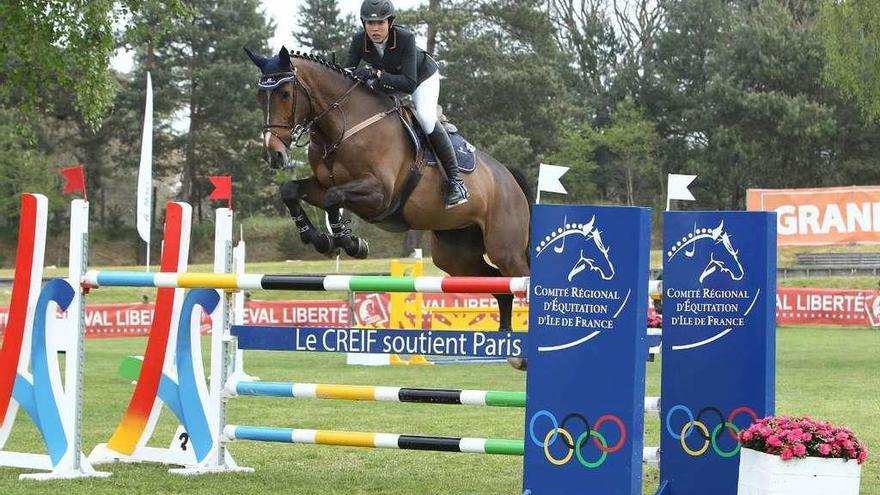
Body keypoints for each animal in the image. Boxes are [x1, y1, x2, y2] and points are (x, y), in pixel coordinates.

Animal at [244, 48, 528, 368]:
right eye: (259, 95)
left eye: (284, 93)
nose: (275, 155)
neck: (342, 126)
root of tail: (508, 177)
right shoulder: (320, 185)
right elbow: (292, 191)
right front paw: (319, 238)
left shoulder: (380, 193)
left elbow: (333, 198)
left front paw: (350, 242)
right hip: (455, 256)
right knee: (500, 286)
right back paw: (511, 349)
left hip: (505, 248)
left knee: (520, 279)